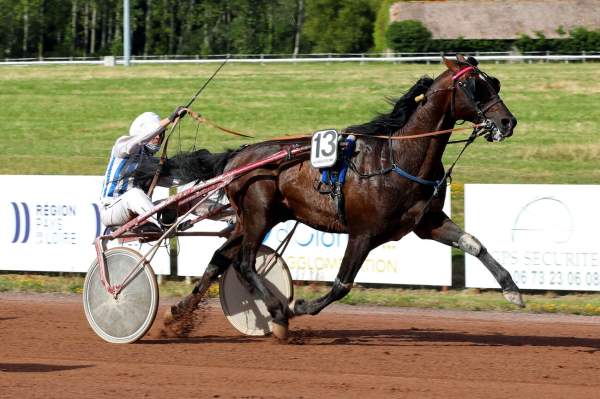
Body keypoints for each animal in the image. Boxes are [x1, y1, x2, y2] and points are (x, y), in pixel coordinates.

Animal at [162, 54, 516, 340]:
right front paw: (297, 307)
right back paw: (277, 312)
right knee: (244, 263)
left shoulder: (427, 222)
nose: (507, 121)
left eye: (493, 82)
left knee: (220, 258)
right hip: (258, 216)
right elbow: (342, 284)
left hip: (252, 219)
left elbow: (474, 243)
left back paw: (177, 315)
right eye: (474, 86)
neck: (397, 158)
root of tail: (238, 156)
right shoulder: (363, 233)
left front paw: (512, 289)